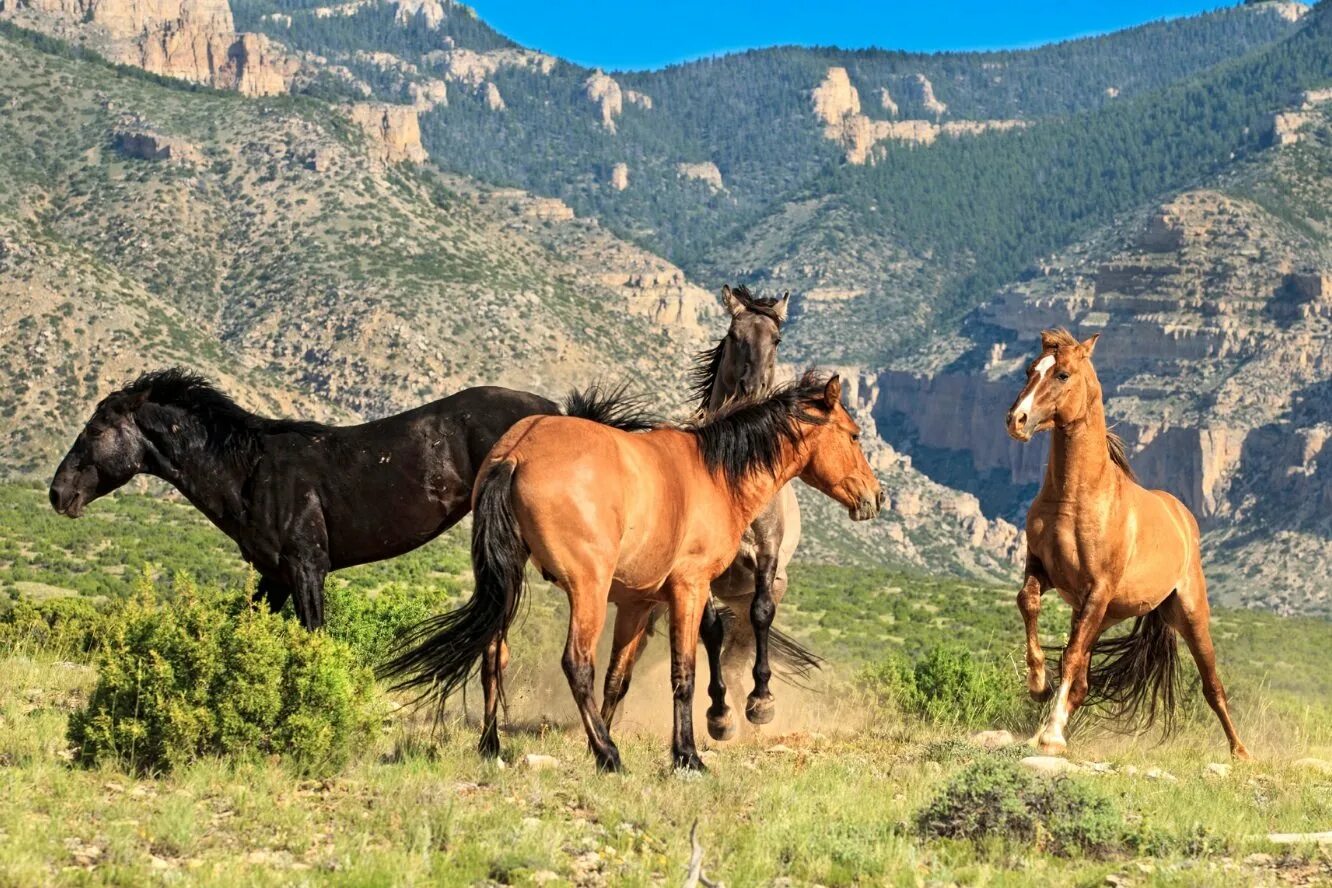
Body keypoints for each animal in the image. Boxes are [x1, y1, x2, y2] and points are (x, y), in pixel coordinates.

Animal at [49, 367, 562, 631]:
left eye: (95, 430)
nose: (59, 493)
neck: (250, 472)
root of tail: (552, 410)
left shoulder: (306, 568)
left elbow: (314, 636)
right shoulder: (275, 576)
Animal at [383, 372, 884, 772]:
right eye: (855, 435)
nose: (875, 497)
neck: (715, 473)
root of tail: (515, 454)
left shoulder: (638, 604)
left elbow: (618, 678)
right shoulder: (690, 588)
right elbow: (684, 674)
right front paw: (687, 755)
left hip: (508, 580)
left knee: (493, 654)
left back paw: (493, 746)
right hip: (586, 588)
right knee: (575, 663)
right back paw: (609, 756)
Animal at [1006, 330, 1246, 761]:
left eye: (1063, 374)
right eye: (1031, 369)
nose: (1017, 420)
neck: (1076, 496)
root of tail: (1182, 516)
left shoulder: (1097, 589)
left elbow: (1070, 657)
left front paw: (1051, 736)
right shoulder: (1045, 571)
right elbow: (1028, 602)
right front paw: (1038, 686)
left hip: (1187, 613)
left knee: (1213, 686)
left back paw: (1241, 753)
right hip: (1100, 615)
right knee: (1082, 680)